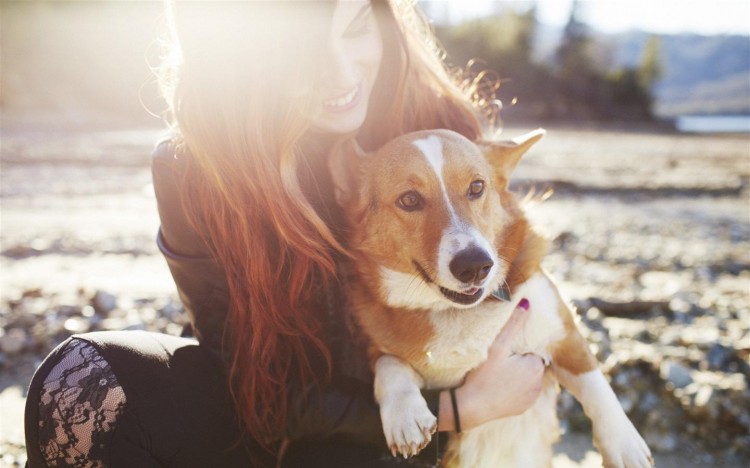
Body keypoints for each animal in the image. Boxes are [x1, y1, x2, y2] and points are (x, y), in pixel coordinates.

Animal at [328, 130, 652, 468]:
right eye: (409, 199)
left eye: (476, 187)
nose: (474, 265)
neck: (453, 310)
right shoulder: (374, 350)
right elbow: (390, 365)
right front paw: (405, 416)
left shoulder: (563, 334)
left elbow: (595, 384)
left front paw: (624, 445)